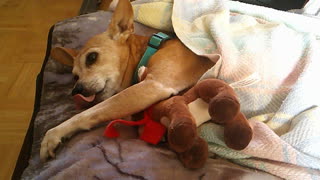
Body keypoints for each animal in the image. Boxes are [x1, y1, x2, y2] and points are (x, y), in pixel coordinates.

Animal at [40, 0, 215, 161]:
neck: (151, 49)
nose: (75, 90)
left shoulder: (155, 85)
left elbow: (88, 113)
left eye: (91, 57)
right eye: (75, 76)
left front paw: (54, 134)